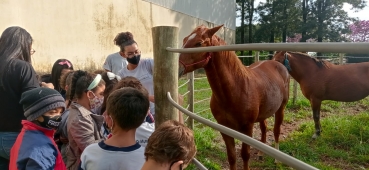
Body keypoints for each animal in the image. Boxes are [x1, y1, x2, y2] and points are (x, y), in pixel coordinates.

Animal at [177, 24, 288, 169]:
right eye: (184, 40)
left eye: (199, 43)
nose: (177, 68)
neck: (237, 88)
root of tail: (277, 63)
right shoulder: (225, 129)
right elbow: (232, 157)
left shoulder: (247, 128)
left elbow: (245, 155)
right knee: (264, 128)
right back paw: (260, 153)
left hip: (281, 109)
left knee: (276, 130)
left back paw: (277, 159)